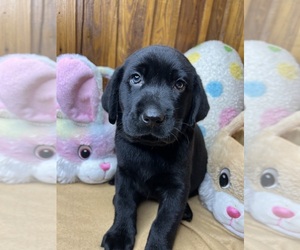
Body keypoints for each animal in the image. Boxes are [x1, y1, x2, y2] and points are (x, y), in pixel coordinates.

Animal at [101, 45, 209, 250]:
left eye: (179, 85)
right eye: (136, 78)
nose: (152, 117)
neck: (150, 149)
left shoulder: (178, 186)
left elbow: (165, 221)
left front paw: (157, 246)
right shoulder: (125, 174)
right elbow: (124, 203)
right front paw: (119, 235)